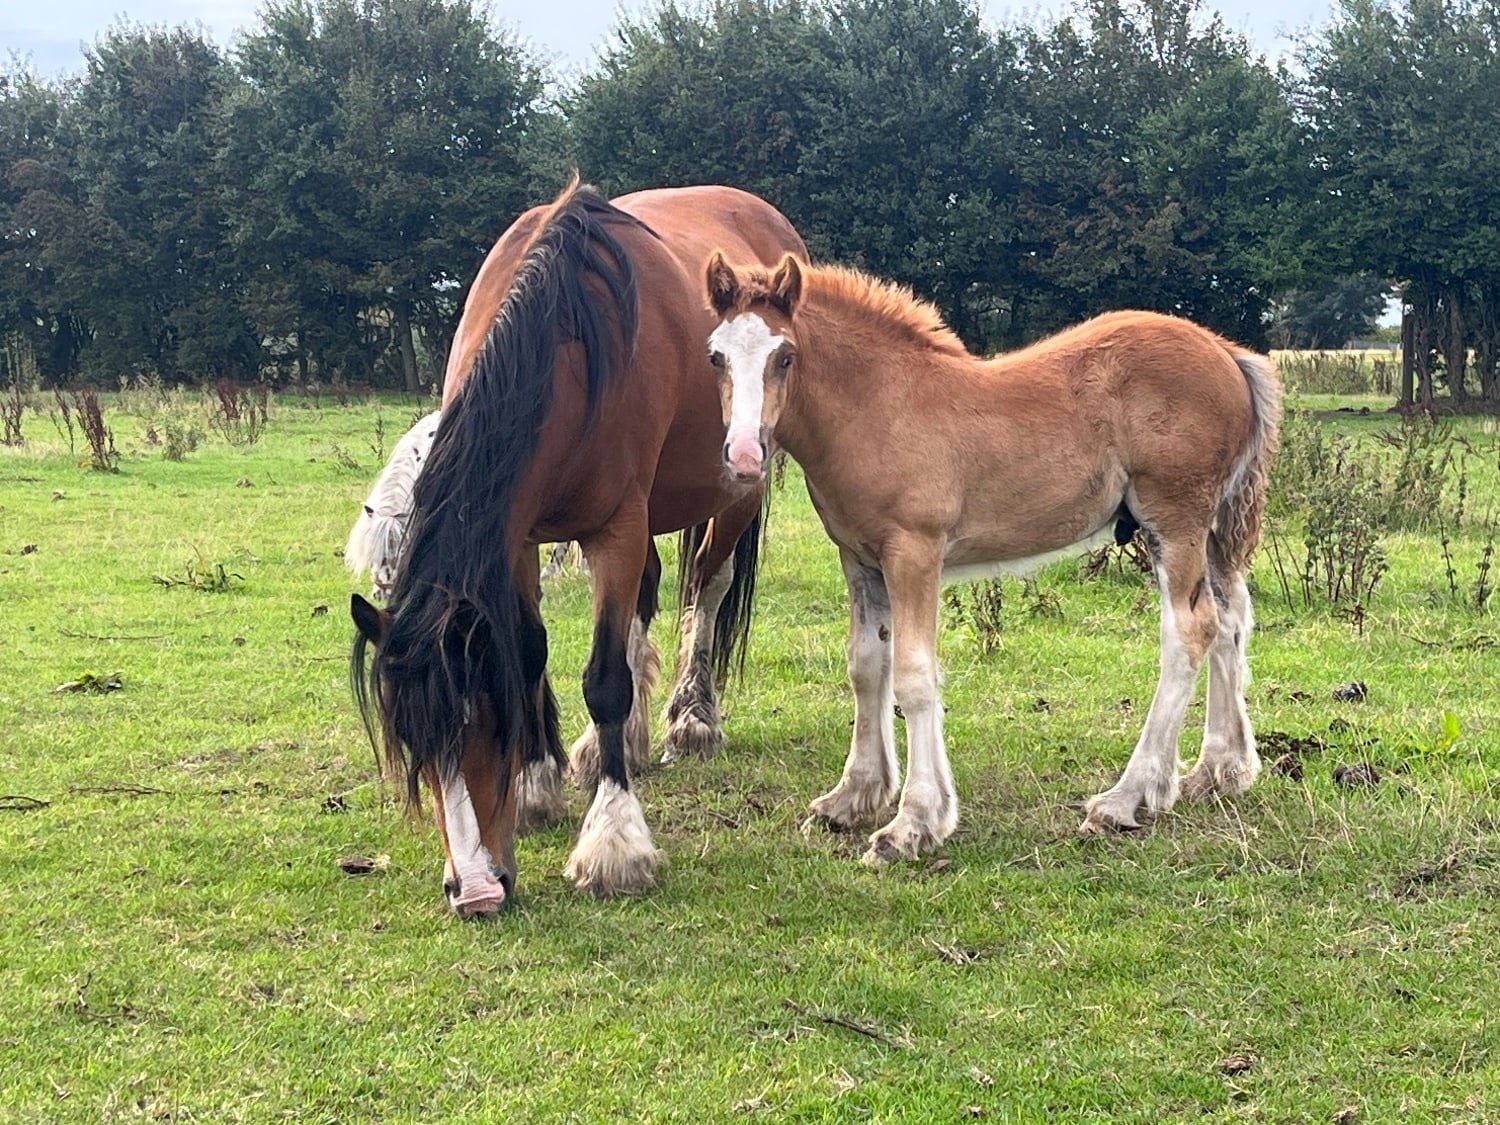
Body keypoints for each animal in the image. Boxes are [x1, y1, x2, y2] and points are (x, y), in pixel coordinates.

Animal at [350, 179, 807, 914]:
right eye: (413, 740)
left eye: (488, 724)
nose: (476, 892)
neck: (564, 348)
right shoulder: (518, 542)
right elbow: (532, 652)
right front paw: (539, 785)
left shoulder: (616, 529)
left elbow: (605, 678)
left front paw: (614, 844)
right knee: (648, 596)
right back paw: (613, 745)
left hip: (735, 490)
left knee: (705, 590)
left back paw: (691, 717)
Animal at [702, 252, 1281, 863]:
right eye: (716, 355)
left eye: (785, 356)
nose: (744, 457)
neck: (878, 404)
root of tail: (1226, 352)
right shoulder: (860, 559)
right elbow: (865, 666)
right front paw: (852, 797)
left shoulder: (914, 550)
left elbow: (913, 676)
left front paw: (912, 823)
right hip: (1207, 531)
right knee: (1229, 621)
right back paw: (1218, 773)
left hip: (1173, 521)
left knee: (1191, 631)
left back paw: (1127, 797)